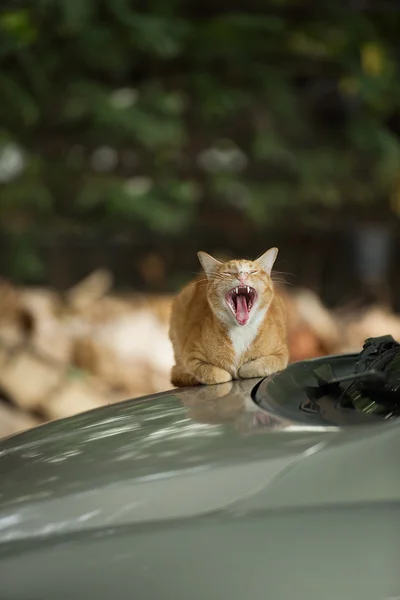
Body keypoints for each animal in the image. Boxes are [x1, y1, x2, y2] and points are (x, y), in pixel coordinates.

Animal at [169, 246, 288, 386]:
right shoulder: (191, 357)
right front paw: (229, 373)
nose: (242, 276)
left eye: (253, 271)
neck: (241, 330)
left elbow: (258, 366)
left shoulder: (281, 354)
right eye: (228, 273)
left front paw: (243, 368)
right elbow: (217, 374)